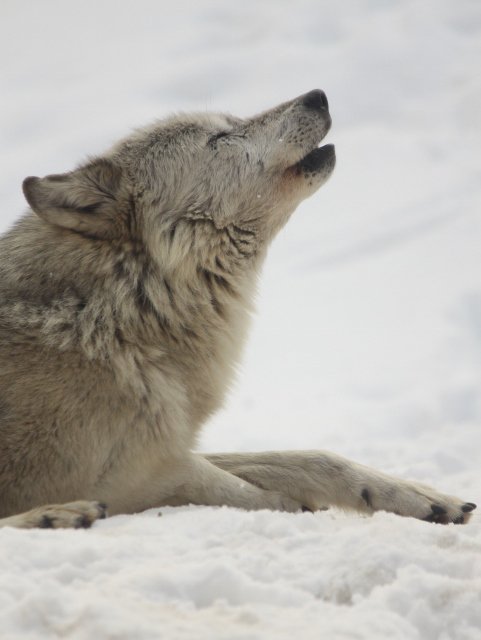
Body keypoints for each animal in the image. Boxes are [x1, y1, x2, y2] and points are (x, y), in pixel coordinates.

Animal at [0, 91, 472, 528]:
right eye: (220, 138)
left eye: (230, 120)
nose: (317, 96)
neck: (121, 312)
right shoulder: (131, 469)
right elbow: (230, 485)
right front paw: (292, 508)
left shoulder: (165, 445)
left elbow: (310, 457)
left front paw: (421, 496)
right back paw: (57, 515)